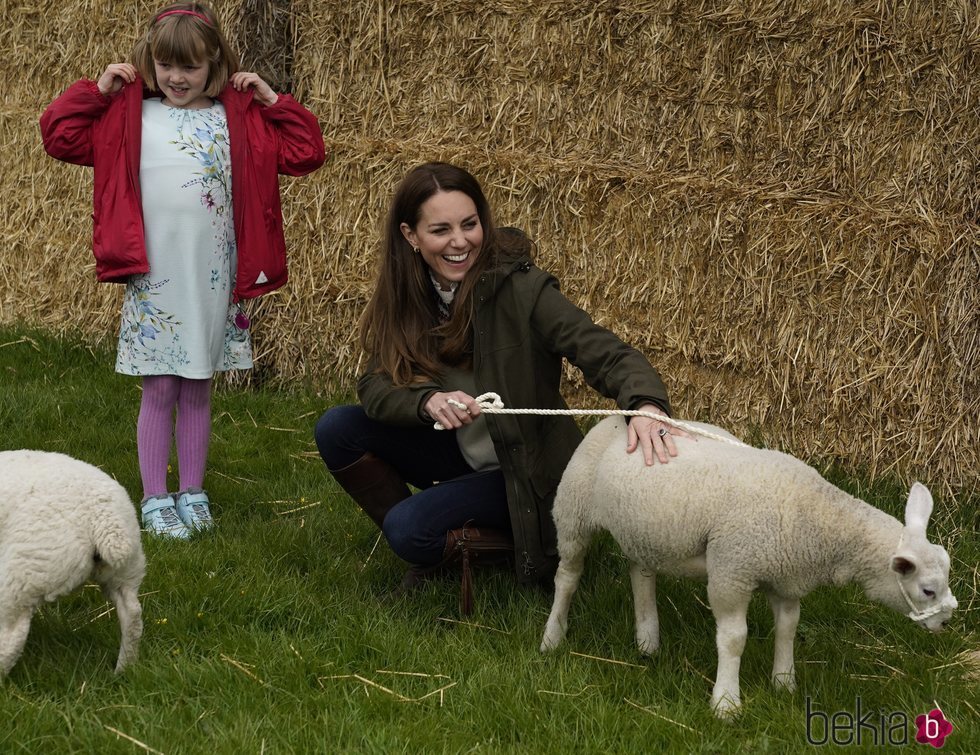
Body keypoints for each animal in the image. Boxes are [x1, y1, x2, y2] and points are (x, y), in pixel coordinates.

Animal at [0, 452, 145, 676]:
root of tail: (104, 520)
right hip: (126, 570)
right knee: (132, 615)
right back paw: (123, 668)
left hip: (23, 574)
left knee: (11, 638)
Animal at [536, 416, 956, 716]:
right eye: (927, 590)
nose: (946, 623)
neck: (816, 518)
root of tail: (616, 419)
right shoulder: (731, 570)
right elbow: (734, 638)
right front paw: (726, 702)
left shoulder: (785, 576)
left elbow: (788, 628)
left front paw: (784, 683)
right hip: (573, 513)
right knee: (567, 577)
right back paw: (553, 636)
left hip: (646, 530)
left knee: (641, 572)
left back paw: (648, 640)